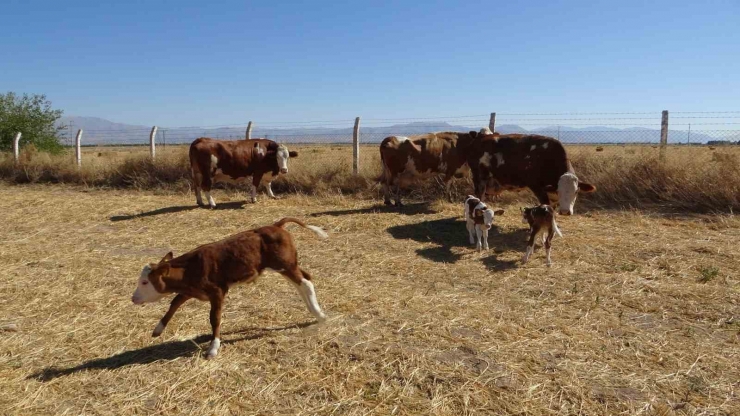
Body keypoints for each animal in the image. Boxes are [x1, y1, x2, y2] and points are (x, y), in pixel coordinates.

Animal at [132, 218, 330, 358]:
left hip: (284, 265)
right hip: (287, 265)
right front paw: (158, 329)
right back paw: (314, 311)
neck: (190, 268)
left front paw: (213, 348)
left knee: (305, 283)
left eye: (145, 282)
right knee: (303, 280)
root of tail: (277, 225)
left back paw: (320, 315)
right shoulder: (192, 290)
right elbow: (174, 303)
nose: (133, 298)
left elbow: (214, 318)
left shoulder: (217, 292)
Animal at [468, 133, 596, 216]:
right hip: (479, 179)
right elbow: (546, 205)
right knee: (479, 197)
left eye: (576, 192)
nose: (565, 212)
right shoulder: (536, 187)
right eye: (559, 190)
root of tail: (480, 138)